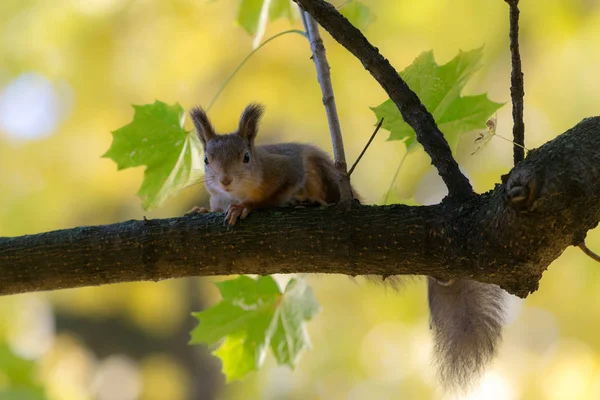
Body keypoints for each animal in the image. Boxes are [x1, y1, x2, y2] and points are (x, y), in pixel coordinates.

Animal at [188, 102, 506, 390]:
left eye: (245, 157)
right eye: (205, 160)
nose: (225, 180)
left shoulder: (286, 168)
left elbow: (276, 191)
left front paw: (246, 207)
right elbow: (216, 205)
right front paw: (203, 209)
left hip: (324, 173)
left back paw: (310, 201)